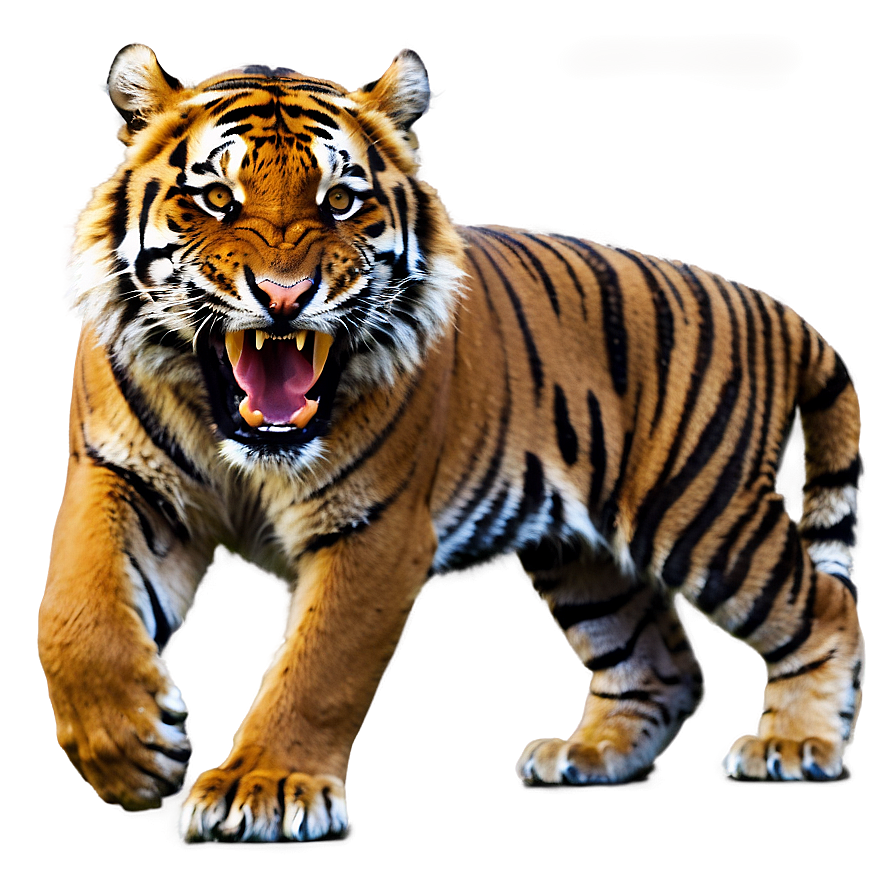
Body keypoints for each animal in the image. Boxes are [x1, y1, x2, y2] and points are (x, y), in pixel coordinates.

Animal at [39, 44, 864, 843]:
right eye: (216, 198)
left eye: (341, 201)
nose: (283, 295)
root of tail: (766, 304)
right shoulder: (124, 478)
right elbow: (76, 608)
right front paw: (127, 749)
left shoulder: (376, 528)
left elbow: (319, 666)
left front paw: (265, 787)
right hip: (584, 554)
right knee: (660, 664)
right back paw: (594, 755)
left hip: (702, 513)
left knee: (825, 608)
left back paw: (796, 743)